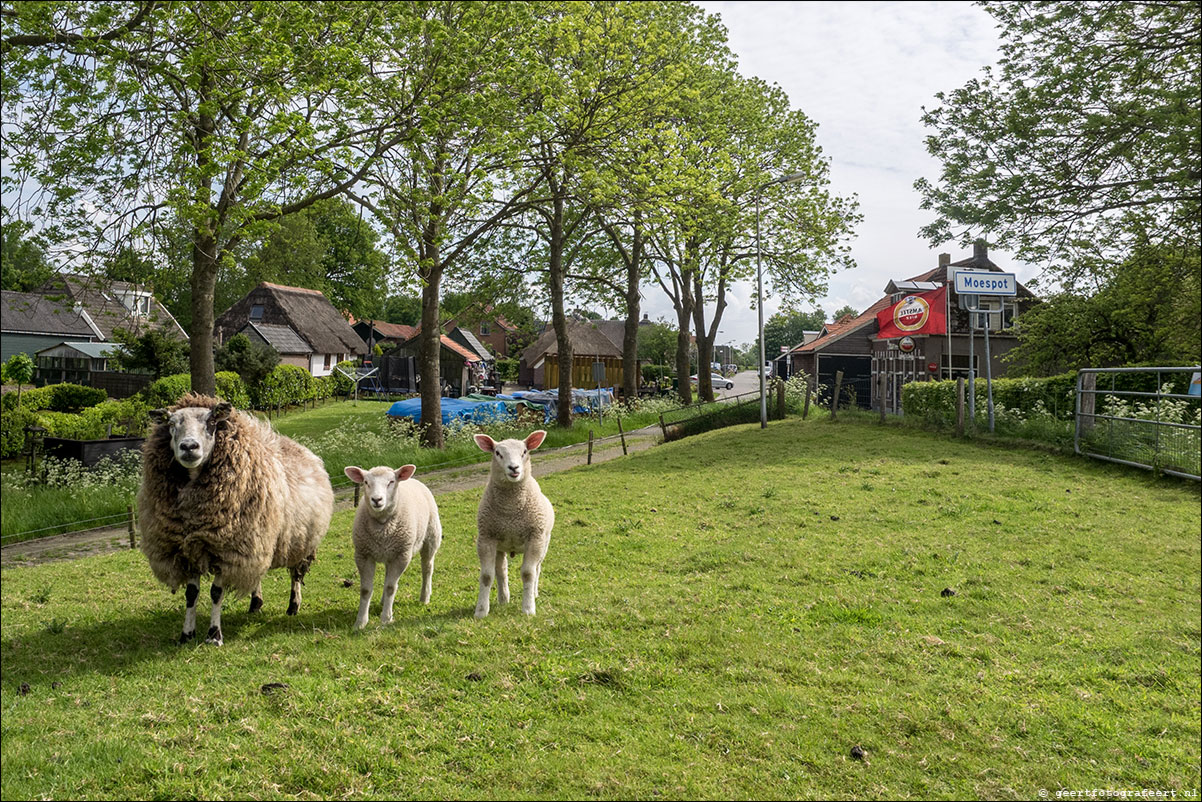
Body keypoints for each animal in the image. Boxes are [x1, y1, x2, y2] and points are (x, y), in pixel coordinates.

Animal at [137, 394, 334, 644]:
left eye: (212, 422)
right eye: (171, 424)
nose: (189, 447)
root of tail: (300, 448)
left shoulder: (228, 552)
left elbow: (216, 593)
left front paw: (214, 635)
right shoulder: (188, 550)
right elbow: (191, 594)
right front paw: (187, 634)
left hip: (300, 542)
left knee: (295, 575)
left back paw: (293, 605)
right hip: (258, 541)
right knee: (257, 574)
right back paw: (256, 602)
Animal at [343, 464, 442, 625]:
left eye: (391, 481)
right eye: (366, 482)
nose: (376, 499)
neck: (382, 526)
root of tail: (413, 479)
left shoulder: (402, 555)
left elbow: (391, 587)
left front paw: (386, 619)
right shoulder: (363, 555)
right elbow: (366, 590)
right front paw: (360, 622)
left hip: (431, 537)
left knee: (427, 568)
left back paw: (424, 597)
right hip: (389, 552)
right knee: (388, 574)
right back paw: (384, 601)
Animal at [473, 430, 557, 620]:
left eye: (524, 451)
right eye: (497, 453)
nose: (514, 468)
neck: (510, 511)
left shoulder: (535, 537)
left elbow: (528, 573)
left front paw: (528, 608)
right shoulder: (486, 538)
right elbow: (487, 576)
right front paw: (481, 610)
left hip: (544, 543)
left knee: (537, 568)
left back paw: (533, 593)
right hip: (499, 545)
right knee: (501, 570)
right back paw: (504, 598)